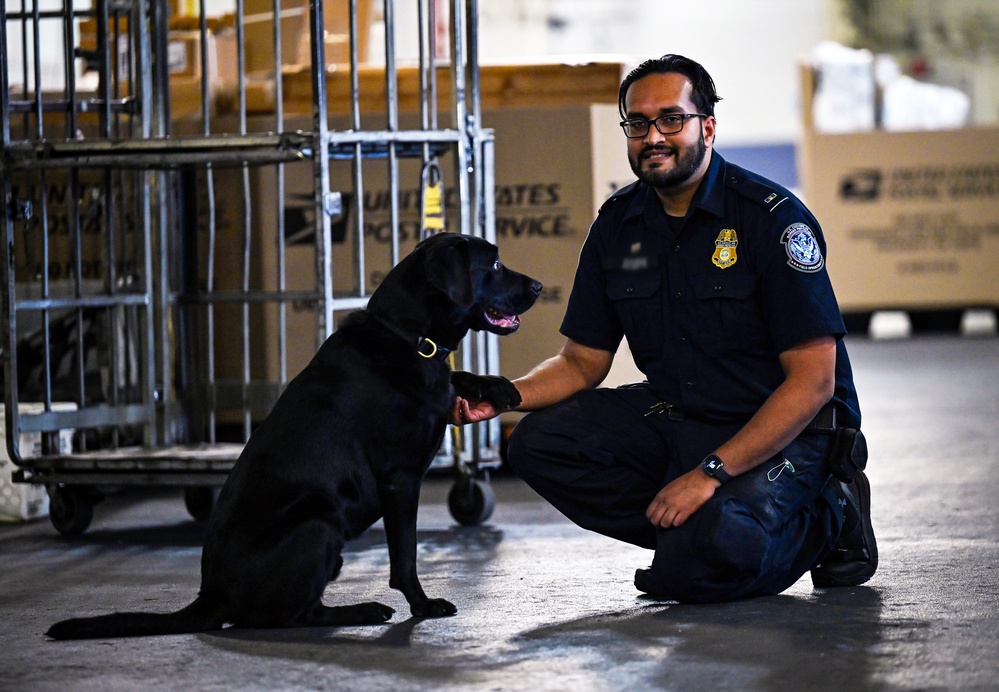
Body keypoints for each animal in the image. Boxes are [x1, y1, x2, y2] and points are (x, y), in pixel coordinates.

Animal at [47, 232, 544, 636]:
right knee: (290, 616)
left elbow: (453, 380)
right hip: (318, 523)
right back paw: (363, 611)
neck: (408, 336)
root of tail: (210, 596)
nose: (539, 286)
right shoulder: (399, 479)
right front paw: (423, 607)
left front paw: (499, 387)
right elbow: (405, 557)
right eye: (494, 265)